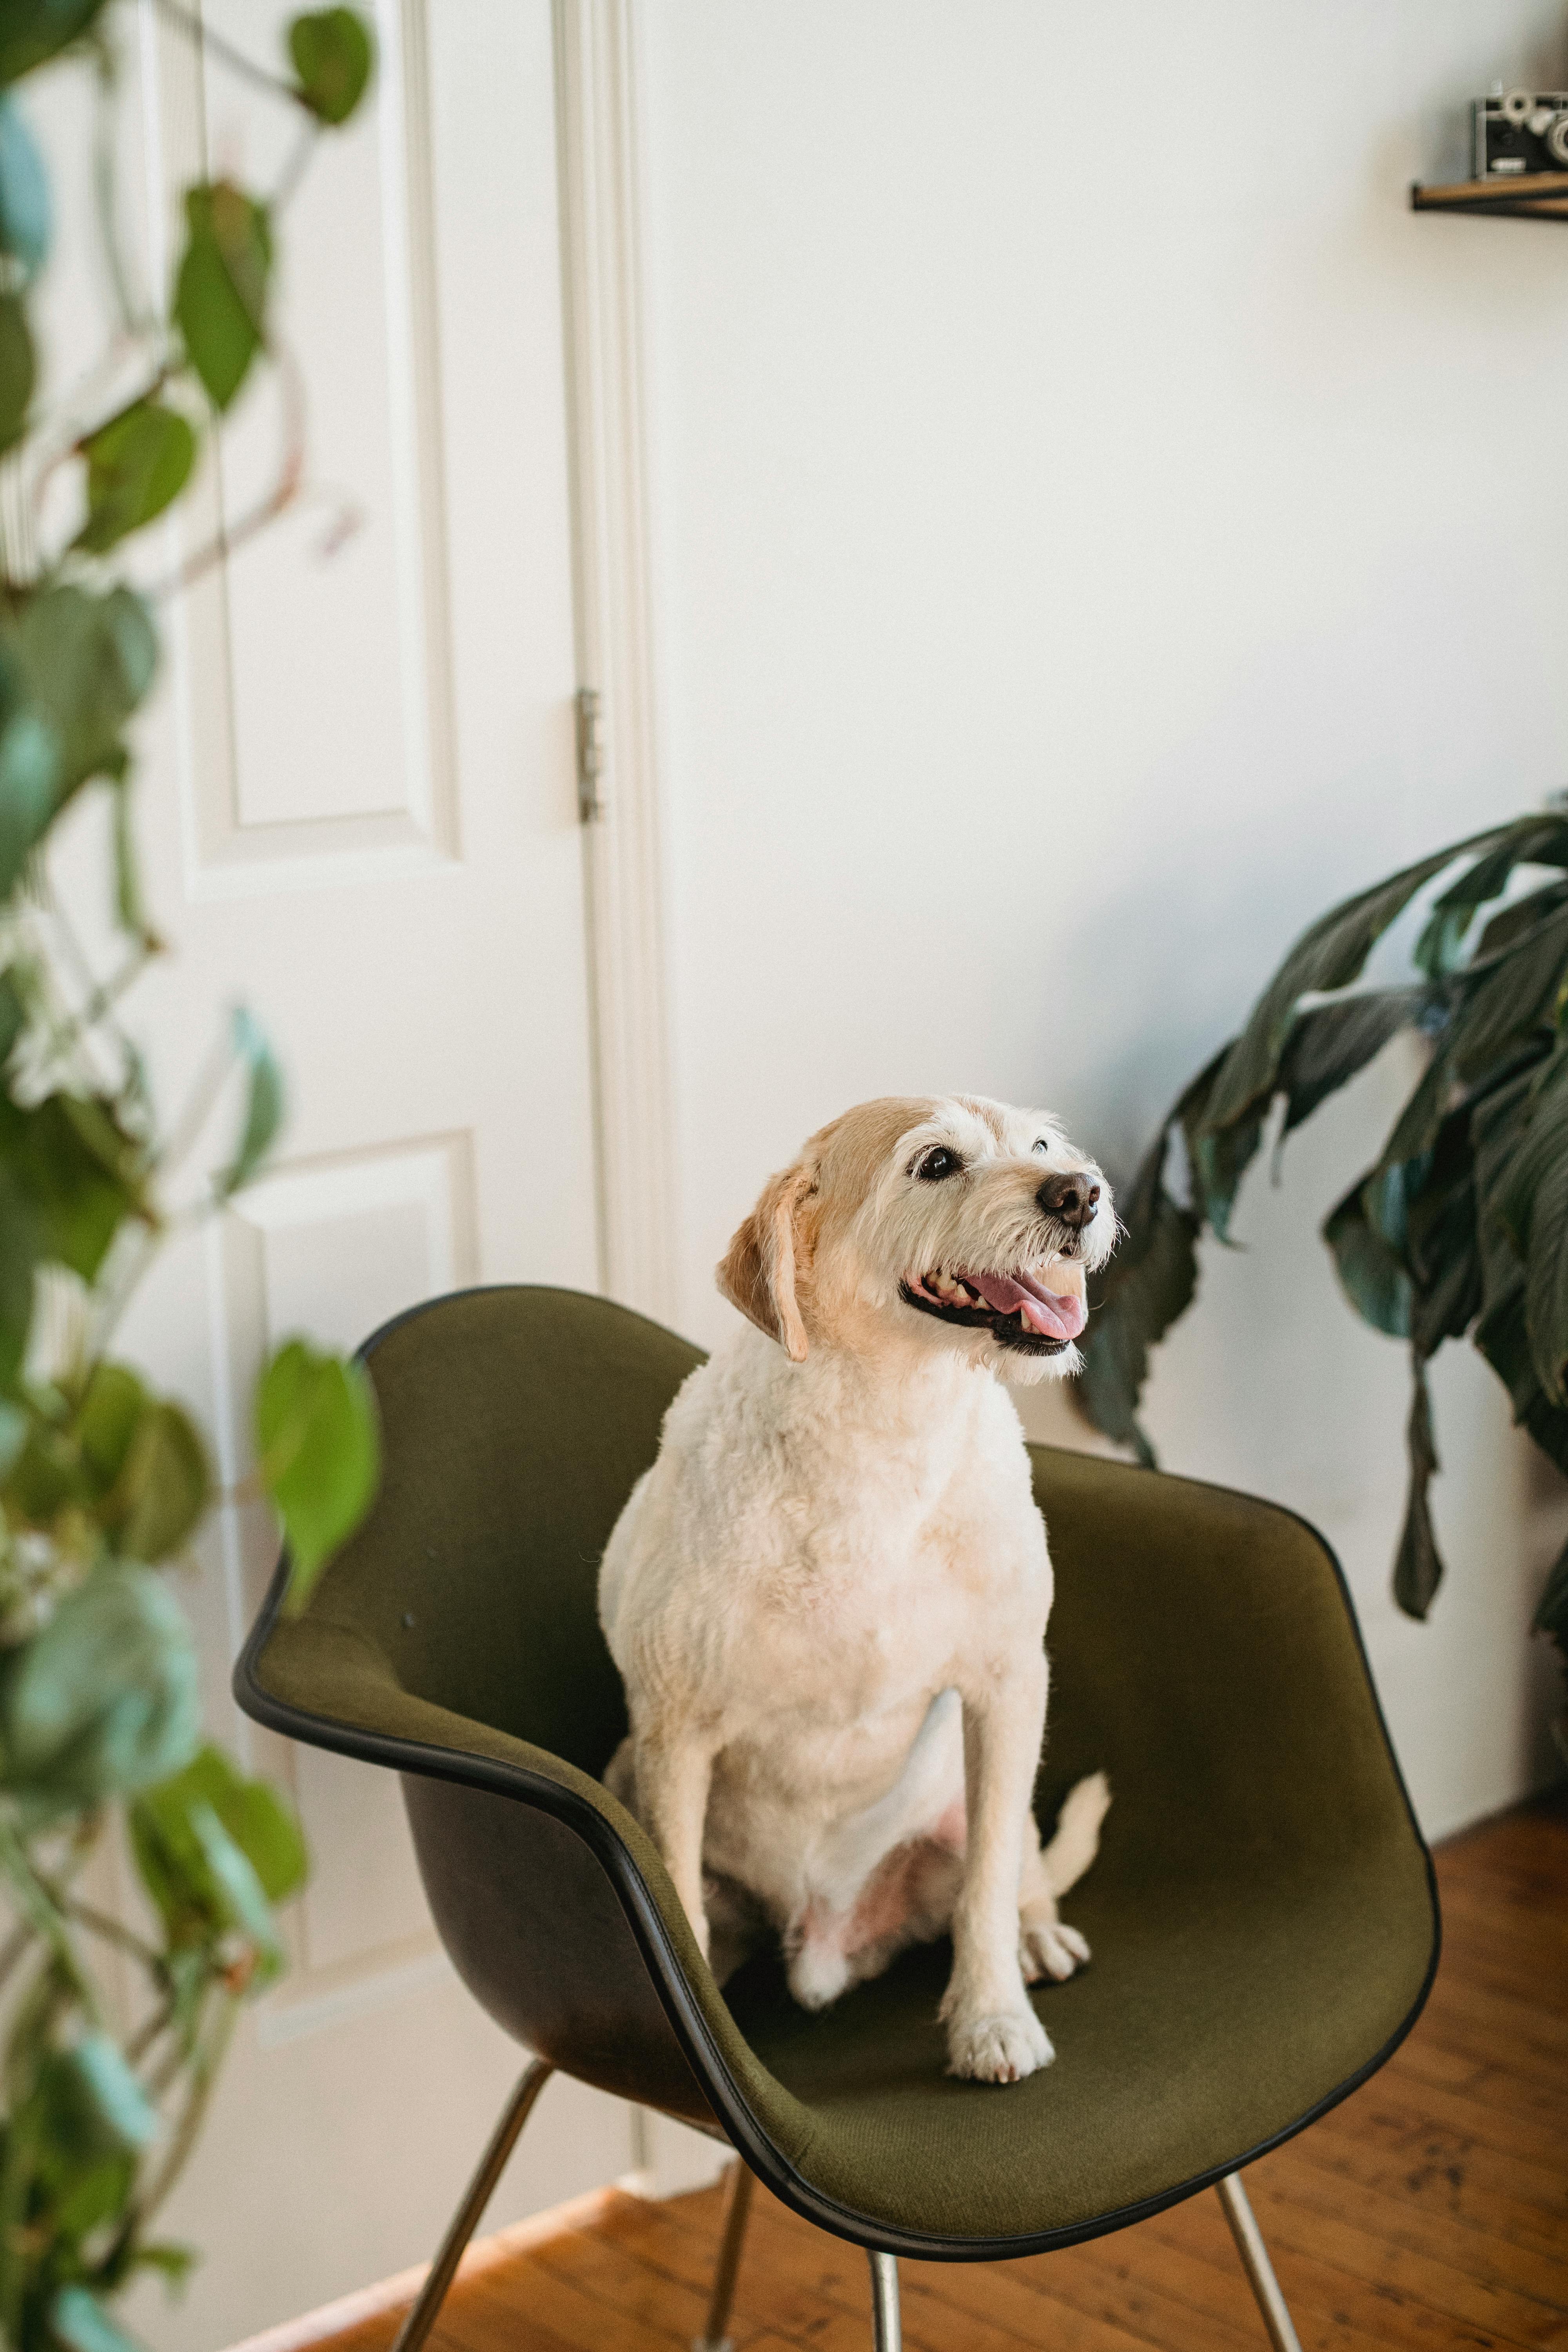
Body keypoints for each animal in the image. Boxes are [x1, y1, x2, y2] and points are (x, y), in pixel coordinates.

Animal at [597, 1091, 1114, 2089]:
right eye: (936, 1162)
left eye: (1040, 1143)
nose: (1079, 1191)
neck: (891, 1427)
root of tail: (832, 1939)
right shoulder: (674, 1732)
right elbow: (676, 1903)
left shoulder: (1006, 1688)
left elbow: (988, 1883)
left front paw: (991, 2018)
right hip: (628, 1767)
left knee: (1017, 1866)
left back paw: (1037, 1935)